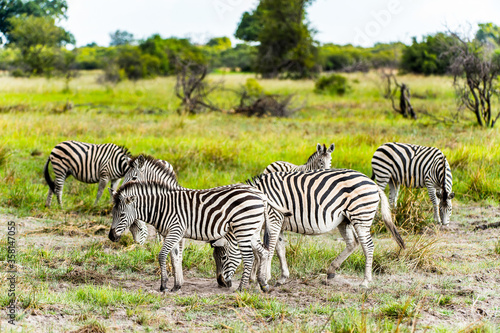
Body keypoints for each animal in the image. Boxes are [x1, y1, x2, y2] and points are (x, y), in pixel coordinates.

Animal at [213, 169, 404, 288]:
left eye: (223, 257)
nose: (221, 283)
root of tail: (372, 182)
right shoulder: (278, 223)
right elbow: (278, 250)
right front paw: (280, 277)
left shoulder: (274, 218)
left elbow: (269, 248)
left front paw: (264, 277)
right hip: (344, 220)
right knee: (353, 243)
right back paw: (331, 271)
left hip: (361, 216)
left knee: (368, 246)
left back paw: (365, 281)